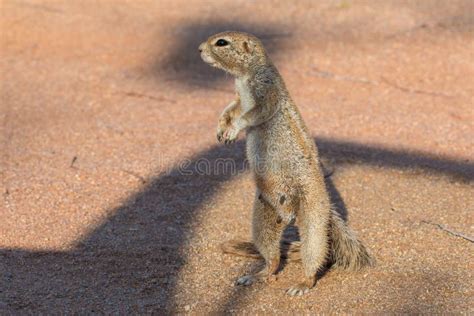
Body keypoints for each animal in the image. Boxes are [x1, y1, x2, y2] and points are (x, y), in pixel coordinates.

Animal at [198, 30, 372, 296]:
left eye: (221, 42)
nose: (198, 49)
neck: (246, 75)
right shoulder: (238, 97)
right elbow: (230, 109)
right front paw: (220, 128)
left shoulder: (266, 92)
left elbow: (252, 114)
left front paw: (233, 129)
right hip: (263, 215)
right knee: (273, 257)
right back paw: (257, 275)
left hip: (312, 214)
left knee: (314, 251)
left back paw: (303, 283)